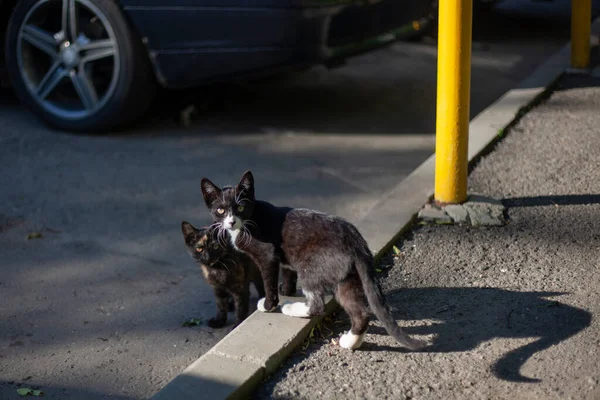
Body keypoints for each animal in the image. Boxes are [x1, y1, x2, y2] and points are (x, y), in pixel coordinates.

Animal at [197, 172, 426, 350]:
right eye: (220, 210)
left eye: (241, 207)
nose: (231, 221)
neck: (248, 222)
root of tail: (355, 239)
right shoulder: (285, 258)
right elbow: (287, 272)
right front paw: (287, 289)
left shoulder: (267, 254)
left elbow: (269, 281)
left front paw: (269, 304)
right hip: (347, 276)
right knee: (360, 311)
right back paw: (350, 342)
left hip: (311, 266)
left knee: (317, 305)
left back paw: (291, 309)